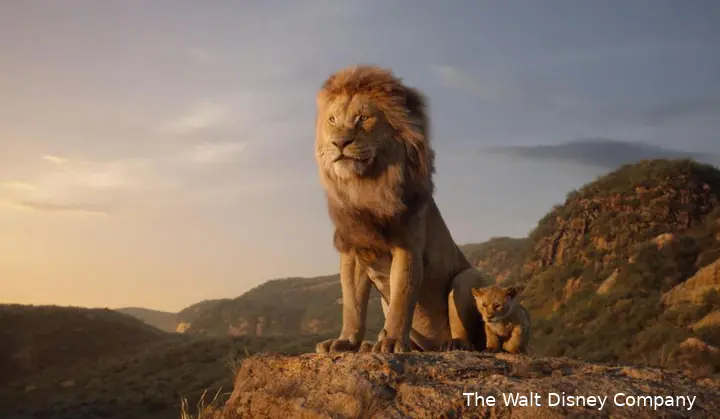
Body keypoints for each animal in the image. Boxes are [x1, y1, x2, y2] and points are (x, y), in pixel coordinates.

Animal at [313, 65, 493, 353]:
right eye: (332, 120)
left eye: (363, 118)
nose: (339, 143)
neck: (366, 186)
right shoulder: (353, 250)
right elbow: (353, 305)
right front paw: (346, 342)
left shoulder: (407, 247)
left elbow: (402, 298)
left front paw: (392, 342)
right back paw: (371, 345)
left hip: (466, 278)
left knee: (473, 338)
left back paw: (454, 344)